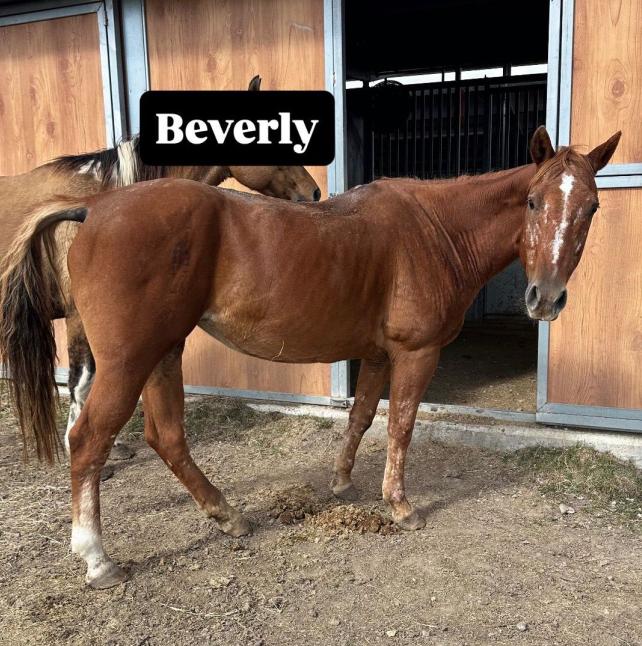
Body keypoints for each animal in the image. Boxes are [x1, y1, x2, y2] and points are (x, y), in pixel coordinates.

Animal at [0, 126, 620, 588]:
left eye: (591, 207)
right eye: (534, 201)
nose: (545, 299)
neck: (434, 229)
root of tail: (90, 211)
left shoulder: (377, 356)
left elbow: (362, 417)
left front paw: (343, 483)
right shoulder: (415, 355)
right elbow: (401, 425)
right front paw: (401, 506)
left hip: (161, 353)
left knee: (167, 436)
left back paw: (227, 516)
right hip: (129, 361)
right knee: (88, 439)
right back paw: (98, 558)